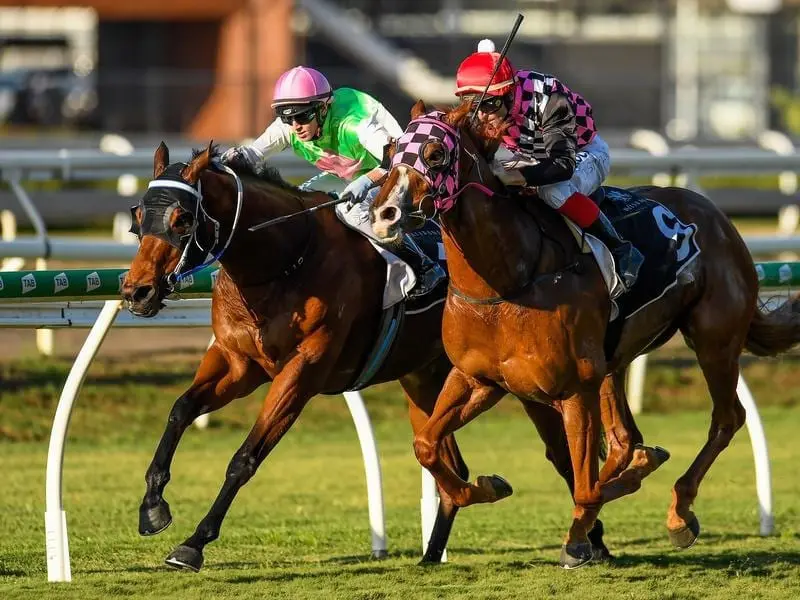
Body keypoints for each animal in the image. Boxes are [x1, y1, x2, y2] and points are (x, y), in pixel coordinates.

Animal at [122, 139, 620, 572]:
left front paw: (193, 543)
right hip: (426, 378)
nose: (136, 291)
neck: (285, 261)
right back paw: (433, 552)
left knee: (563, 454)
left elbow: (244, 458)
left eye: (182, 220)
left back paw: (590, 542)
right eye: (138, 216)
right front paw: (152, 507)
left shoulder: (302, 372)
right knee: (452, 461)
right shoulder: (237, 362)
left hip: (523, 379)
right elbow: (181, 409)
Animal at [368, 101, 800, 568]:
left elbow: (585, 483)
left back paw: (678, 512)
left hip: (713, 339)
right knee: (626, 440)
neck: (509, 279)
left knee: (725, 419)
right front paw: (487, 486)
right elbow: (427, 443)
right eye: (390, 152)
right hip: (614, 364)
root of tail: (716, 215)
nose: (383, 215)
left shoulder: (573, 387)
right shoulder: (478, 379)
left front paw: (583, 532)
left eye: (435, 154)